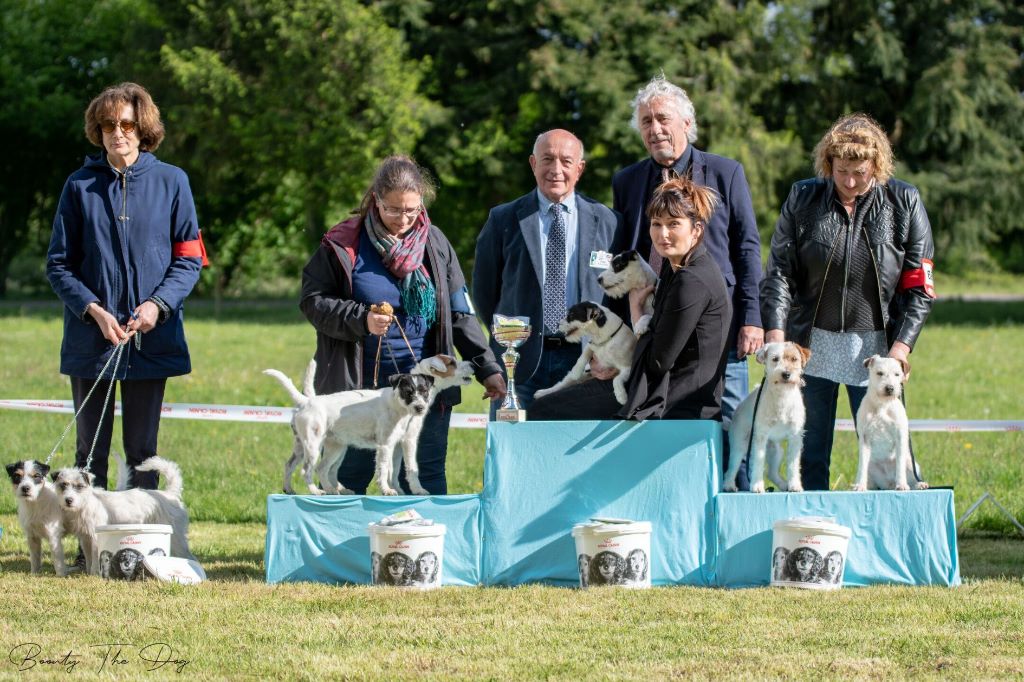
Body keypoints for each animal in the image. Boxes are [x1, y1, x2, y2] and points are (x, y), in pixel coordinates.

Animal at [51, 456, 195, 573]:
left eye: (79, 486)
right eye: (63, 485)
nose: (68, 500)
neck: (86, 503)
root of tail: (170, 494)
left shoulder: (95, 538)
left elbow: (95, 558)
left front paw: (94, 573)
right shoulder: (85, 538)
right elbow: (89, 558)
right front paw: (88, 573)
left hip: (177, 538)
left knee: (188, 555)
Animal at [724, 342, 811, 491]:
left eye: (794, 359)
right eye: (775, 359)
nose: (786, 374)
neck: (782, 395)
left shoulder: (795, 437)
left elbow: (793, 465)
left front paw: (794, 485)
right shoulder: (760, 437)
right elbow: (759, 462)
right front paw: (757, 486)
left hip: (776, 451)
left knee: (771, 473)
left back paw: (784, 485)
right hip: (740, 446)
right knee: (732, 468)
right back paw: (729, 485)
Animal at [847, 352, 929, 491]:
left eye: (897, 374)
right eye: (879, 373)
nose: (890, 388)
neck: (882, 404)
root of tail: (887, 484)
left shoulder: (900, 436)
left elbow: (900, 465)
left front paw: (902, 485)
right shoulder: (865, 437)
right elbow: (862, 466)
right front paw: (860, 486)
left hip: (911, 464)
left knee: (912, 476)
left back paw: (919, 484)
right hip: (872, 468)